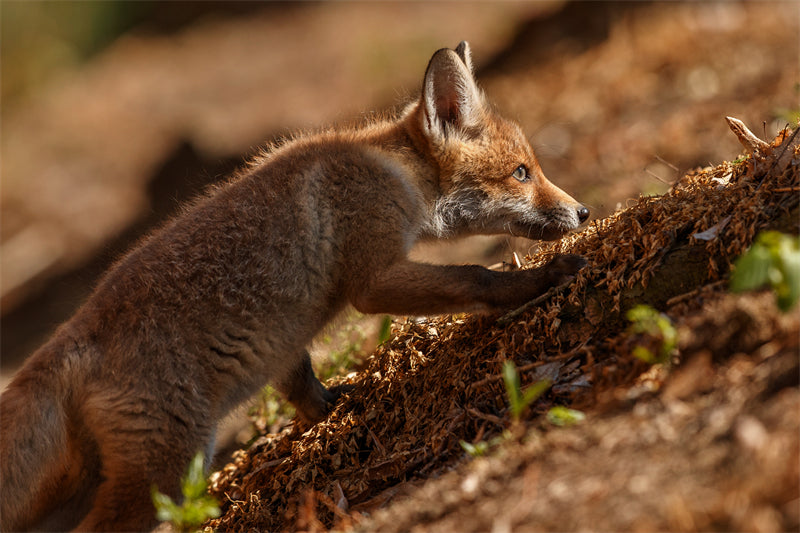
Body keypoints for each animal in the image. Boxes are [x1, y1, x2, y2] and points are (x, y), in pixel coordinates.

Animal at [0, 41, 588, 532]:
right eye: (521, 173)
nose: (582, 211)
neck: (392, 171)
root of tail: (74, 332)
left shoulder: (282, 343)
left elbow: (303, 388)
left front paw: (333, 411)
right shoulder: (373, 280)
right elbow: (476, 276)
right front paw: (540, 279)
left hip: (86, 487)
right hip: (167, 471)